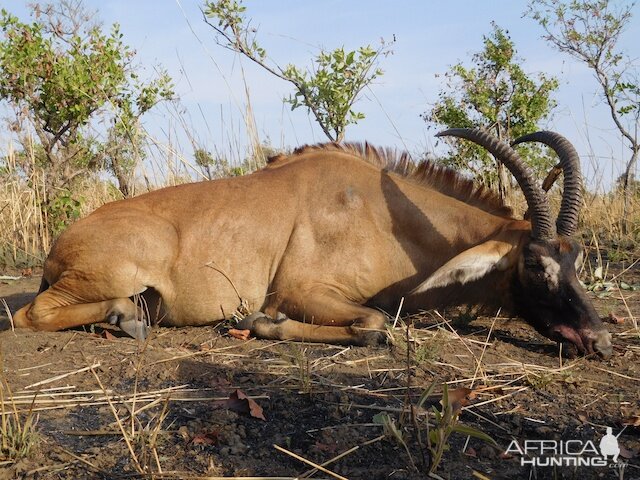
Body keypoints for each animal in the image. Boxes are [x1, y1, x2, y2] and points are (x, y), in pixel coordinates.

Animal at [12, 129, 612, 358]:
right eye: (534, 263)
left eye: (576, 259)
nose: (600, 341)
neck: (382, 214)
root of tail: (62, 242)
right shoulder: (301, 290)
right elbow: (374, 323)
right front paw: (265, 324)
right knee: (28, 315)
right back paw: (122, 318)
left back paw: (125, 317)